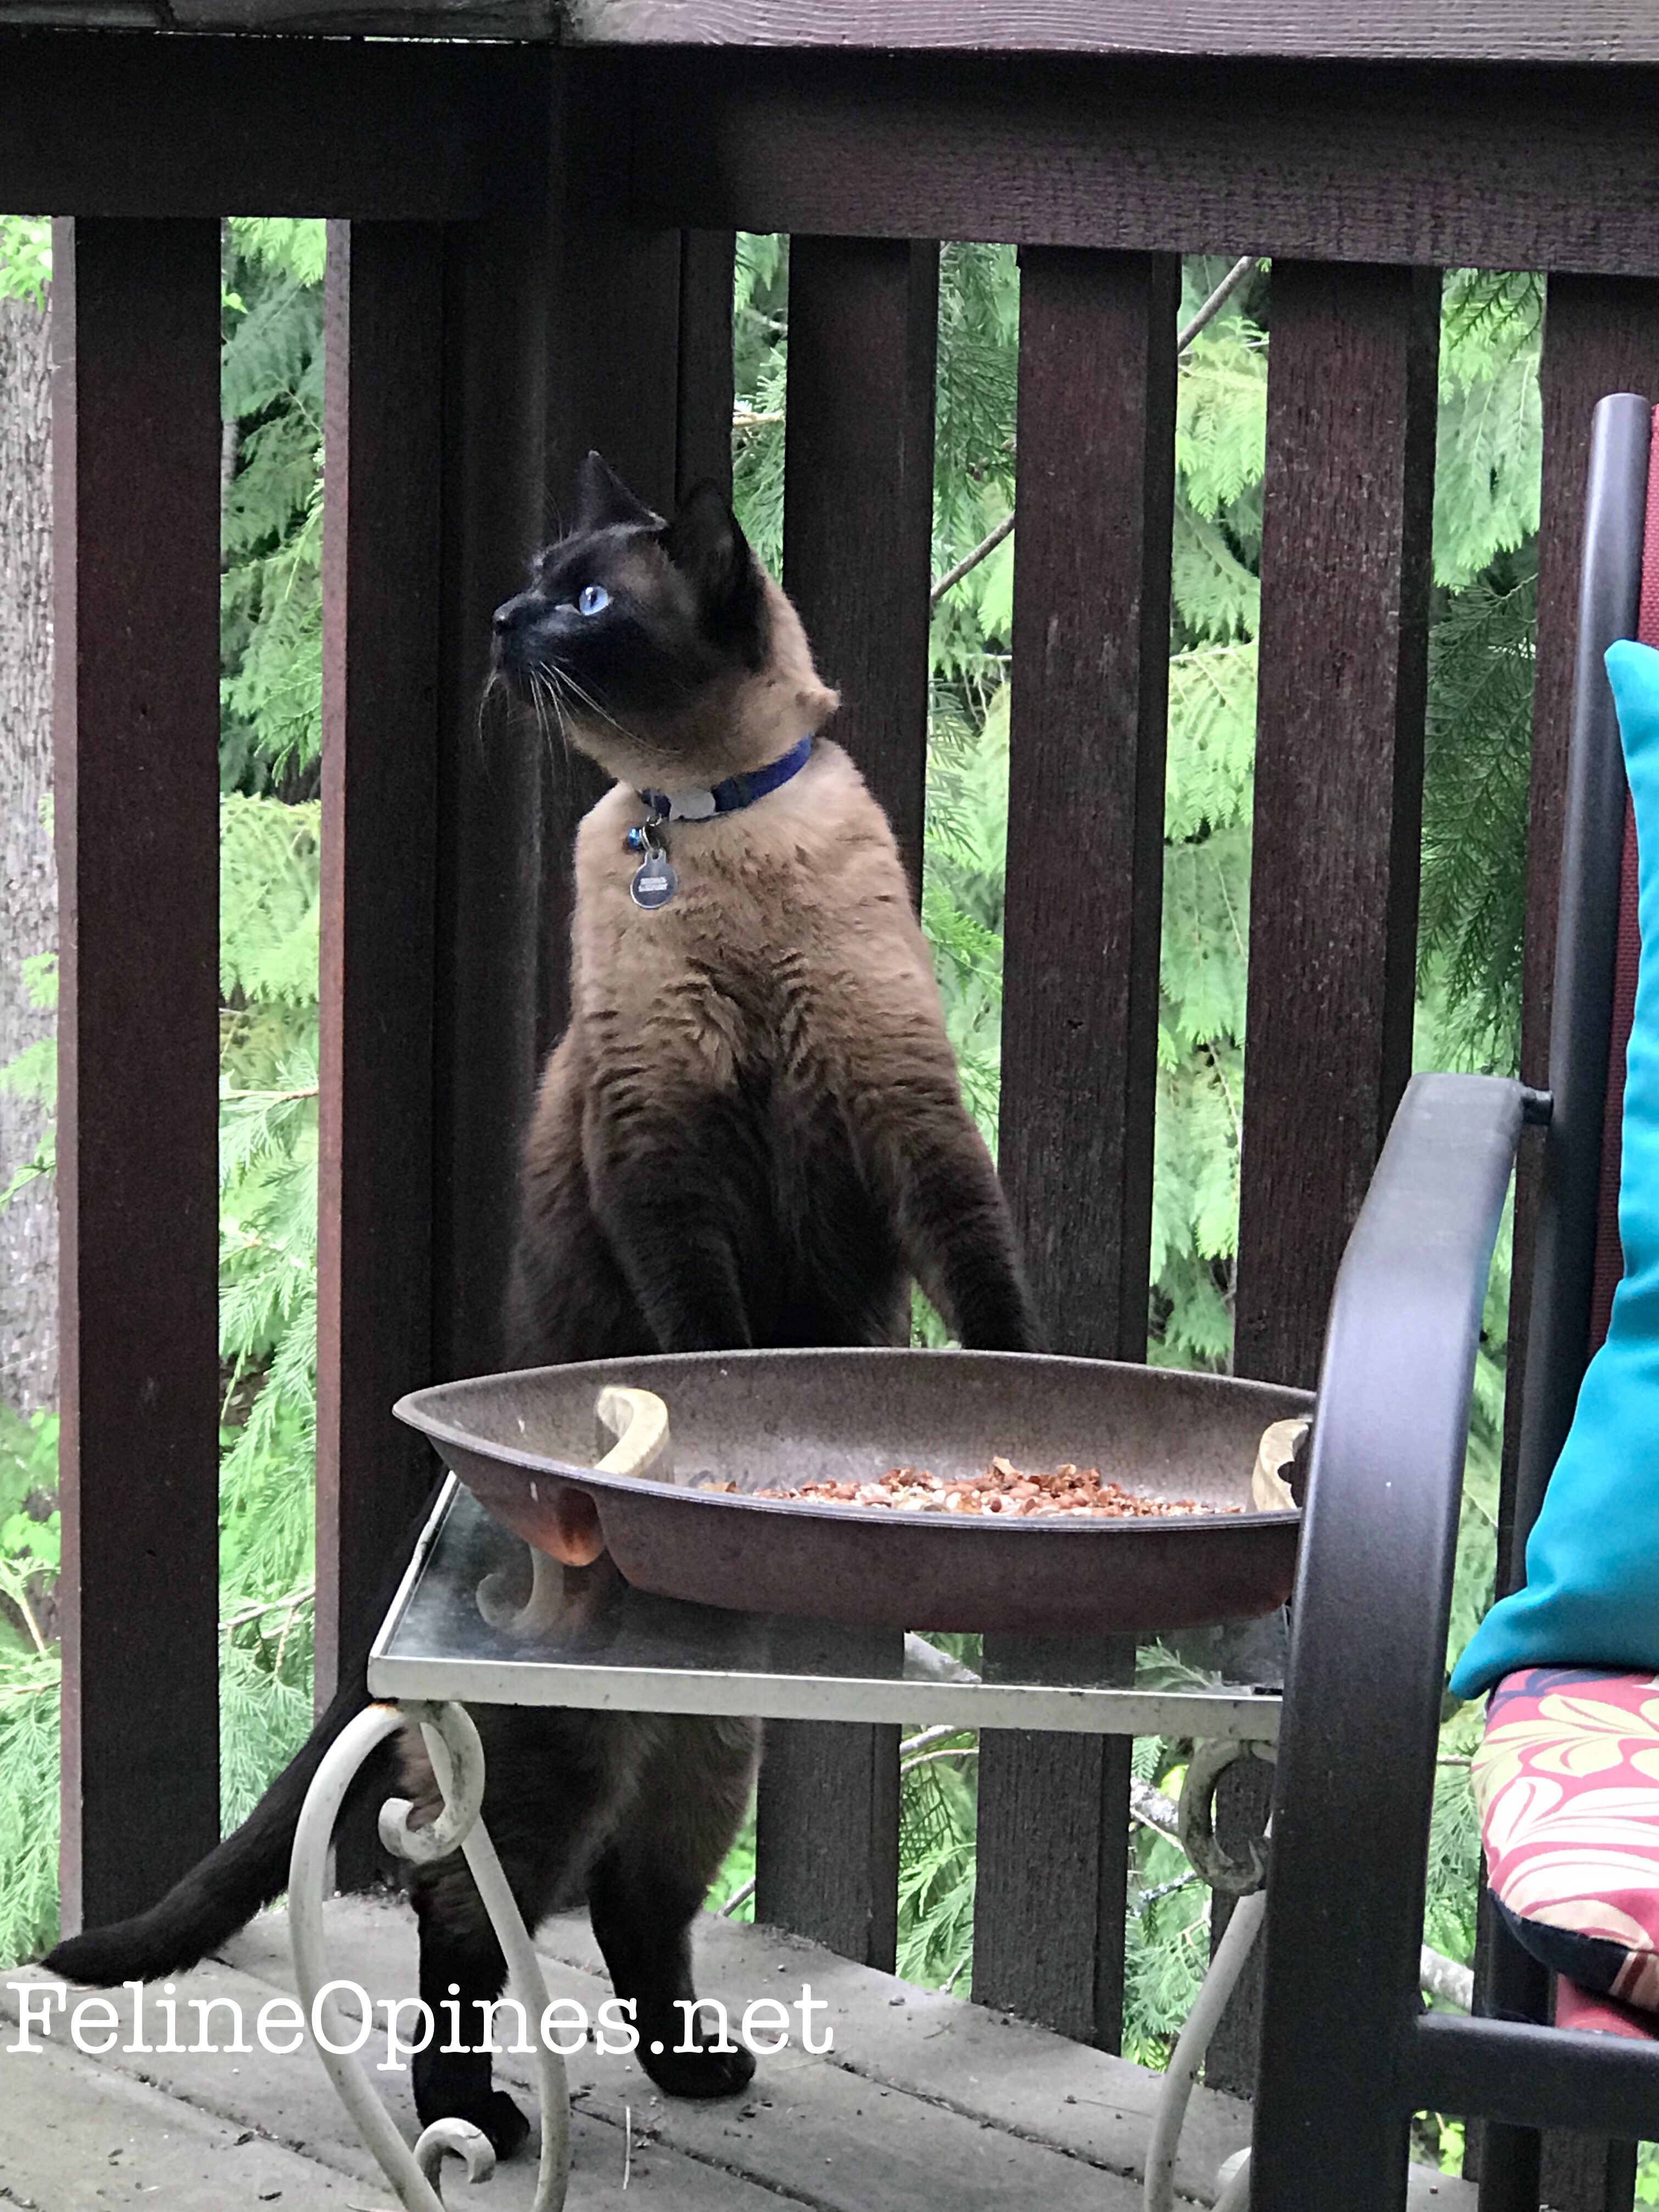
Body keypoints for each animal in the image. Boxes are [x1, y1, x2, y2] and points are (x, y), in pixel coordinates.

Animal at [45, 454, 1040, 2158]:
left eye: (585, 597)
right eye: (537, 580)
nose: (509, 621)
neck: (697, 827)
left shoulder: (902, 1113)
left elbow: (989, 1280)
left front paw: (1033, 1396)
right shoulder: (665, 1154)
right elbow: (716, 1342)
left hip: (707, 1765)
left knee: (643, 1917)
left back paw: (700, 2065)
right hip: (545, 1772)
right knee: (460, 1938)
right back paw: (488, 2124)